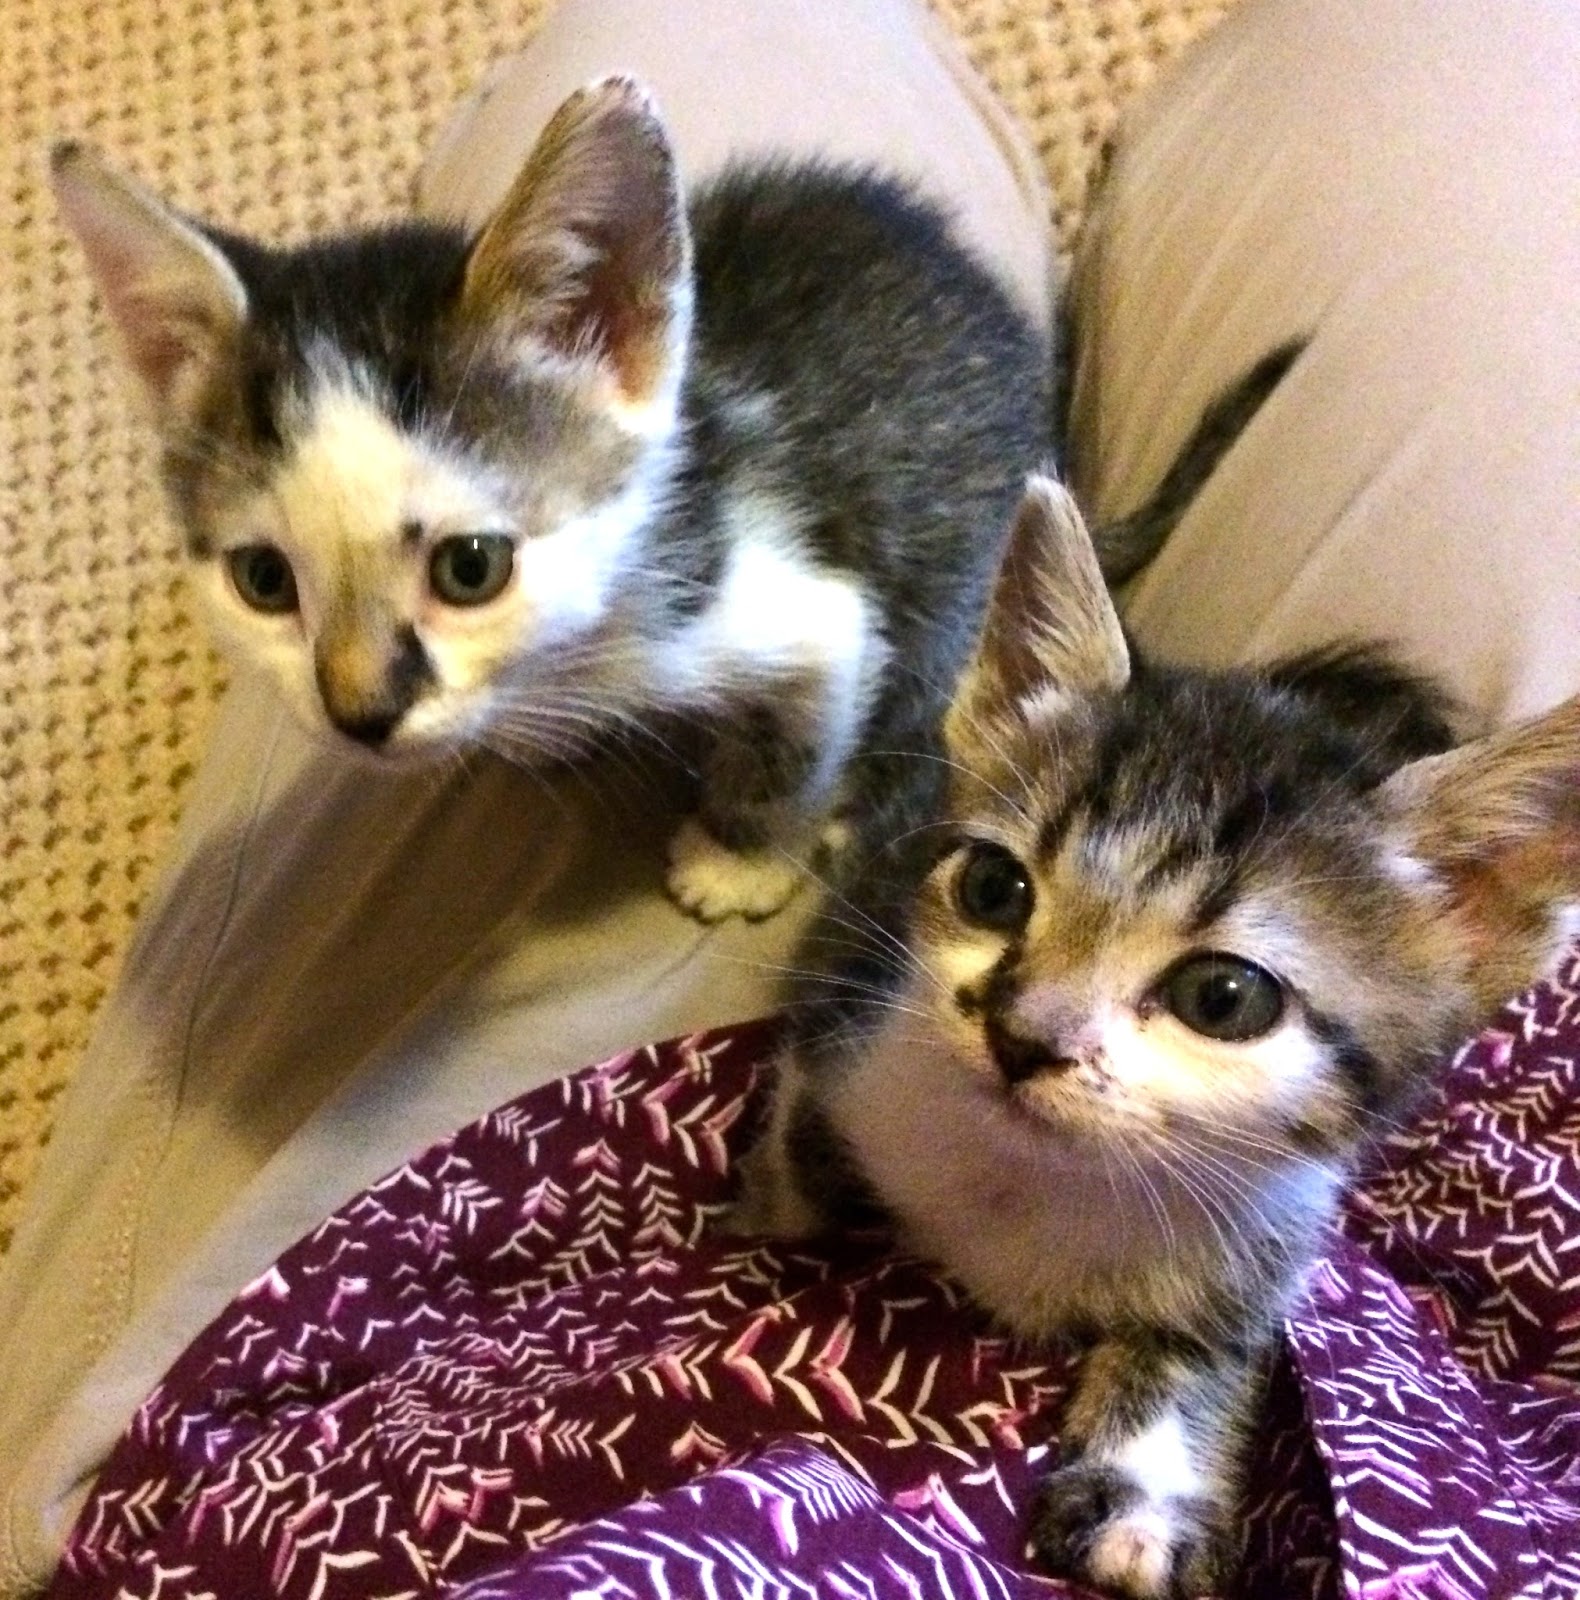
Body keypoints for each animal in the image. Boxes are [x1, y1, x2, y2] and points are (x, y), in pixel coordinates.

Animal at [729, 477, 1580, 1598]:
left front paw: (1144, 1486)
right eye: (993, 888)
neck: (1040, 1179)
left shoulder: (1274, 1227)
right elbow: (794, 1156)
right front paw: (769, 1205)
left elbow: (1208, 1344)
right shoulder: (843, 1010)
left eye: (1222, 997)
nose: (1021, 1035)